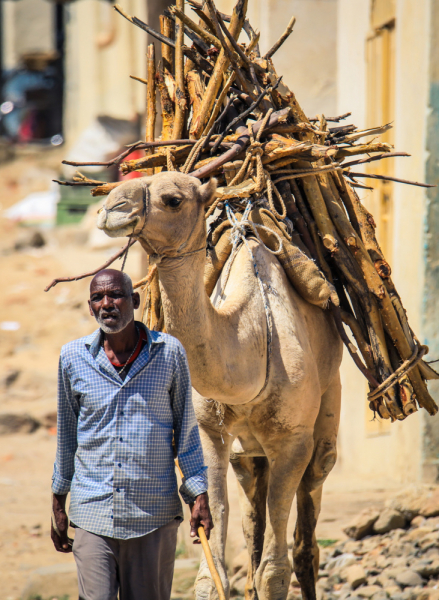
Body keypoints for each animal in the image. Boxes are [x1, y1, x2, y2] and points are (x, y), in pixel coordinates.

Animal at [97, 172, 344, 600]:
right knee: (250, 482)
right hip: (248, 447)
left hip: (330, 398)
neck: (252, 339)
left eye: (173, 199)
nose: (113, 207)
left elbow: (274, 574)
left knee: (313, 499)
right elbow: (211, 578)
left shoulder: (293, 440)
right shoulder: (209, 432)